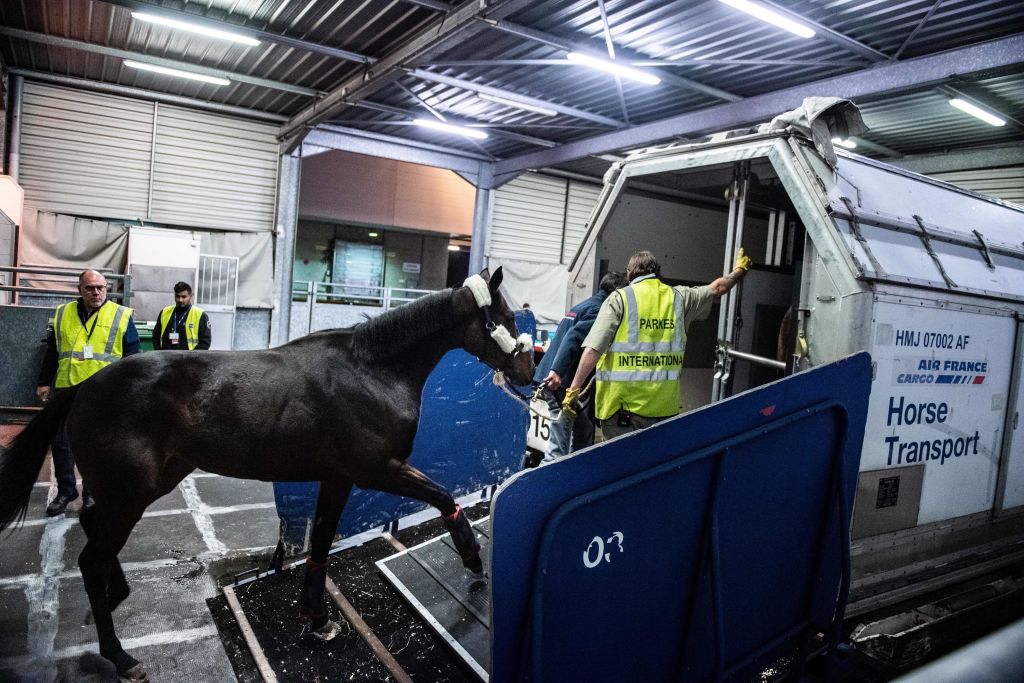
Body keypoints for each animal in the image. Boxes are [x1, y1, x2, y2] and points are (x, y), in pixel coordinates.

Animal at [0, 267, 534, 682]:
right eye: (508, 319)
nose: (530, 372)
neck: (372, 371)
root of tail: (86, 387)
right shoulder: (377, 470)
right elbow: (443, 495)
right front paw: (472, 557)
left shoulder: (338, 478)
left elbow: (321, 545)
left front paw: (317, 619)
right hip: (130, 493)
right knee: (91, 559)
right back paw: (121, 656)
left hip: (137, 488)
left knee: (94, 531)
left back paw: (116, 596)